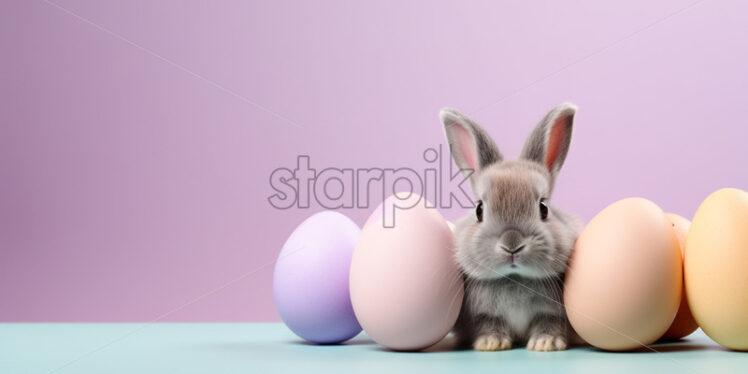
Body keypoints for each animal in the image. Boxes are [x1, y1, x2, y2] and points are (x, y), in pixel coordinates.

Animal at [442, 103, 580, 352]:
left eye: (543, 208)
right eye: (479, 210)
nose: (512, 244)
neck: (514, 278)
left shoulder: (552, 313)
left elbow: (550, 323)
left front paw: (545, 343)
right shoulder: (483, 314)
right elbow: (489, 324)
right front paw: (490, 343)